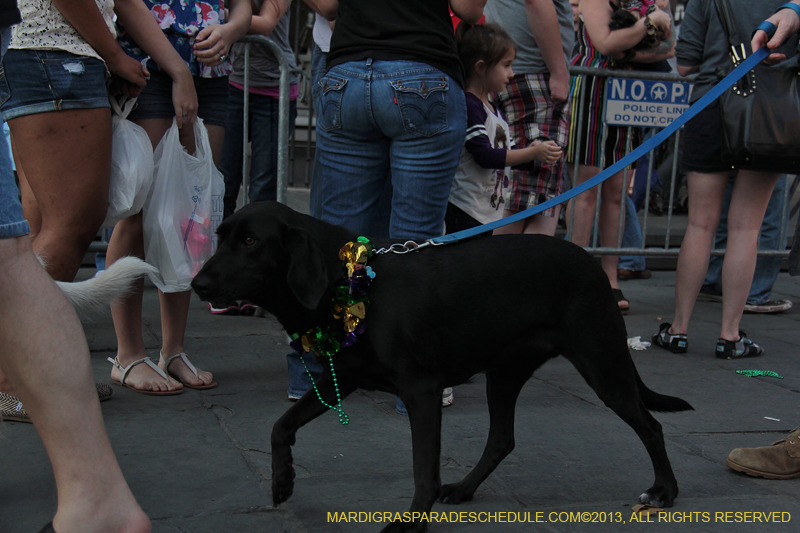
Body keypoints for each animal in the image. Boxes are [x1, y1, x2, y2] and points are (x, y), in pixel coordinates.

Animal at [192, 202, 692, 528]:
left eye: (251, 241)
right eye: (221, 237)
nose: (197, 284)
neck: (347, 281)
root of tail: (592, 263)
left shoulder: (422, 391)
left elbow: (423, 472)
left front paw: (411, 524)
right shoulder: (341, 380)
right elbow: (281, 425)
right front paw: (282, 480)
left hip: (603, 365)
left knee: (651, 426)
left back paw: (664, 491)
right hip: (505, 374)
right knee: (502, 439)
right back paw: (467, 489)